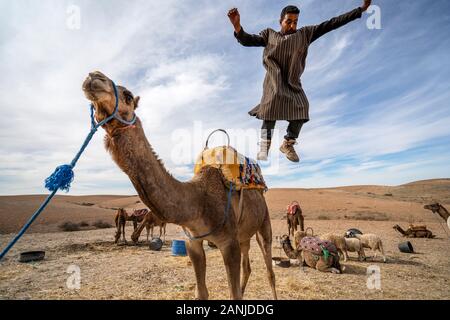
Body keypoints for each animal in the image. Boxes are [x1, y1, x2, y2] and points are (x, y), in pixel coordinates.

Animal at [82, 71, 276, 302]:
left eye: (128, 95)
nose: (94, 76)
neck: (198, 202)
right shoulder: (193, 242)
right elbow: (202, 292)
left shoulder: (229, 243)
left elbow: (234, 293)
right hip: (244, 235)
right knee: (248, 267)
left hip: (263, 223)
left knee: (269, 269)